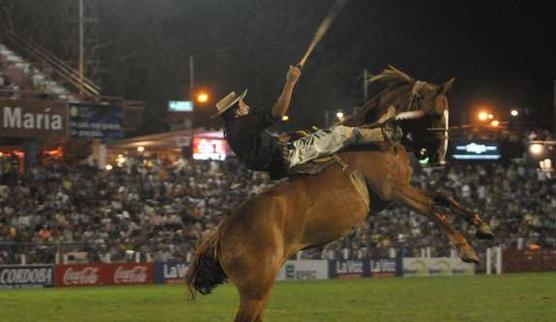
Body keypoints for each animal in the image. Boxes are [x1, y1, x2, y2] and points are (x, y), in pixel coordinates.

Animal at [185, 66, 494, 322]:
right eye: (435, 112)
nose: (439, 156)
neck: (377, 145)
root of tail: (220, 234)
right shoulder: (394, 190)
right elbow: (433, 208)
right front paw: (466, 250)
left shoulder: (402, 189)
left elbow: (443, 197)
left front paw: (482, 226)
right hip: (255, 290)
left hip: (262, 289)